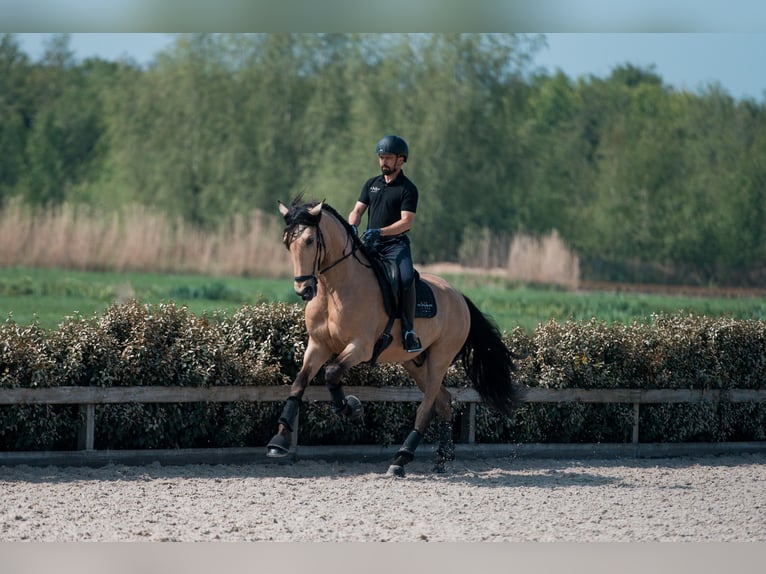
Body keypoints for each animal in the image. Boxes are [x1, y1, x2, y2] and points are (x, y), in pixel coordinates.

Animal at [266, 196, 526, 477]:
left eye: (310, 240)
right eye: (287, 242)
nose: (304, 290)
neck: (334, 290)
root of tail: (459, 297)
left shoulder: (361, 347)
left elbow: (332, 372)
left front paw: (351, 408)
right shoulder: (318, 345)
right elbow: (299, 383)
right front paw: (279, 441)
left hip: (439, 358)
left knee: (427, 405)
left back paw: (401, 458)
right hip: (415, 362)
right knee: (444, 401)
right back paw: (443, 458)